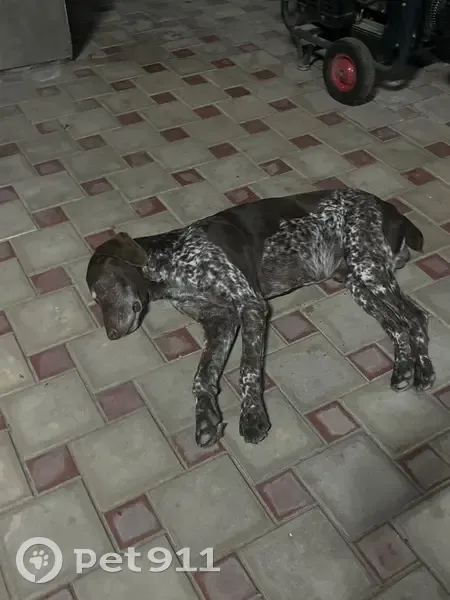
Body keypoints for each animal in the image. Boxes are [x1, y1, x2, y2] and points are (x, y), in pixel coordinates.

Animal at [86, 188, 434, 448]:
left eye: (100, 291)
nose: (111, 335)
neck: (172, 261)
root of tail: (388, 207)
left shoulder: (250, 305)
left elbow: (248, 369)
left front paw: (252, 417)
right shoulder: (220, 322)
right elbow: (201, 378)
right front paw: (205, 418)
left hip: (368, 268)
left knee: (416, 318)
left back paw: (425, 372)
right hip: (357, 283)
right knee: (397, 325)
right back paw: (403, 370)